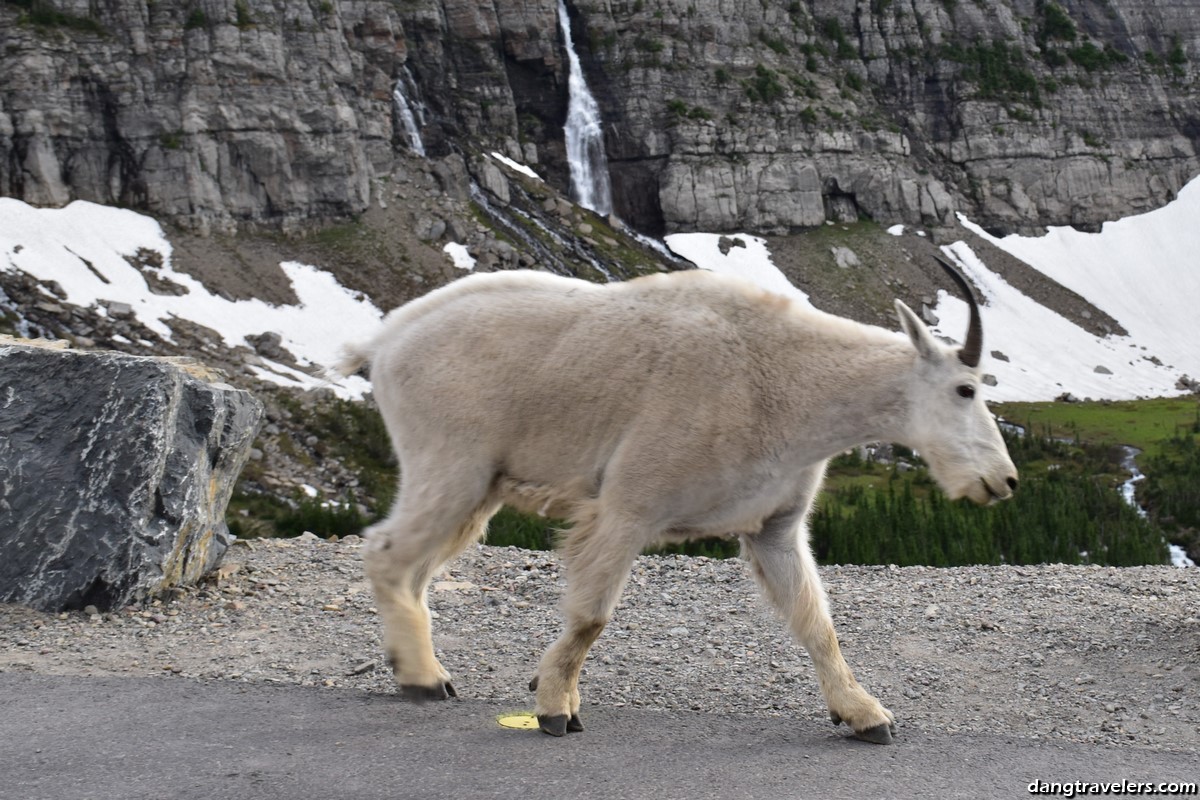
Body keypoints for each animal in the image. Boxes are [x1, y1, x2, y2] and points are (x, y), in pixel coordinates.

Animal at [336, 256, 1012, 743]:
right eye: (965, 388)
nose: (1003, 481)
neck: (797, 384)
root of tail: (385, 341)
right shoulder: (628, 507)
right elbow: (591, 616)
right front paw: (555, 709)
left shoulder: (774, 527)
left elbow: (817, 624)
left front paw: (866, 715)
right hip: (450, 464)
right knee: (387, 551)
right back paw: (424, 681)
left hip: (479, 487)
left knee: (416, 567)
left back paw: (423, 671)